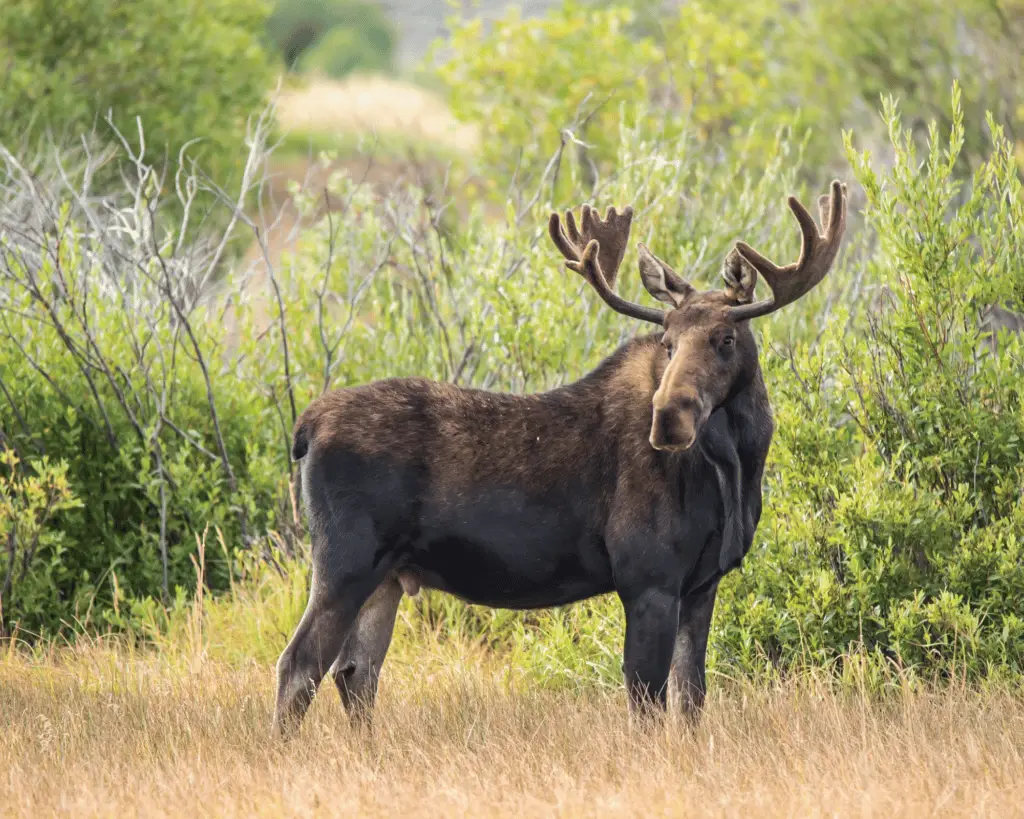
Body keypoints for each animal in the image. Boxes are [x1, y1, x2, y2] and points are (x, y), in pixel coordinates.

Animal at [274, 177, 847, 728]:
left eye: (726, 337)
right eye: (667, 341)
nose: (669, 417)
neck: (736, 467)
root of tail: (306, 428)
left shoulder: (702, 585)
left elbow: (691, 702)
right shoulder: (648, 579)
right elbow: (647, 703)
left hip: (387, 575)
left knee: (355, 671)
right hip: (345, 561)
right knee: (300, 665)